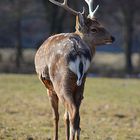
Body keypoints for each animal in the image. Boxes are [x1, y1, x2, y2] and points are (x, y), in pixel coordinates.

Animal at [34, 0, 115, 140]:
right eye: (94, 28)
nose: (112, 37)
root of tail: (77, 50)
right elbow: (65, 117)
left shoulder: (49, 88)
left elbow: (56, 116)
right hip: (81, 83)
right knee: (77, 116)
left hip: (61, 81)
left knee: (72, 113)